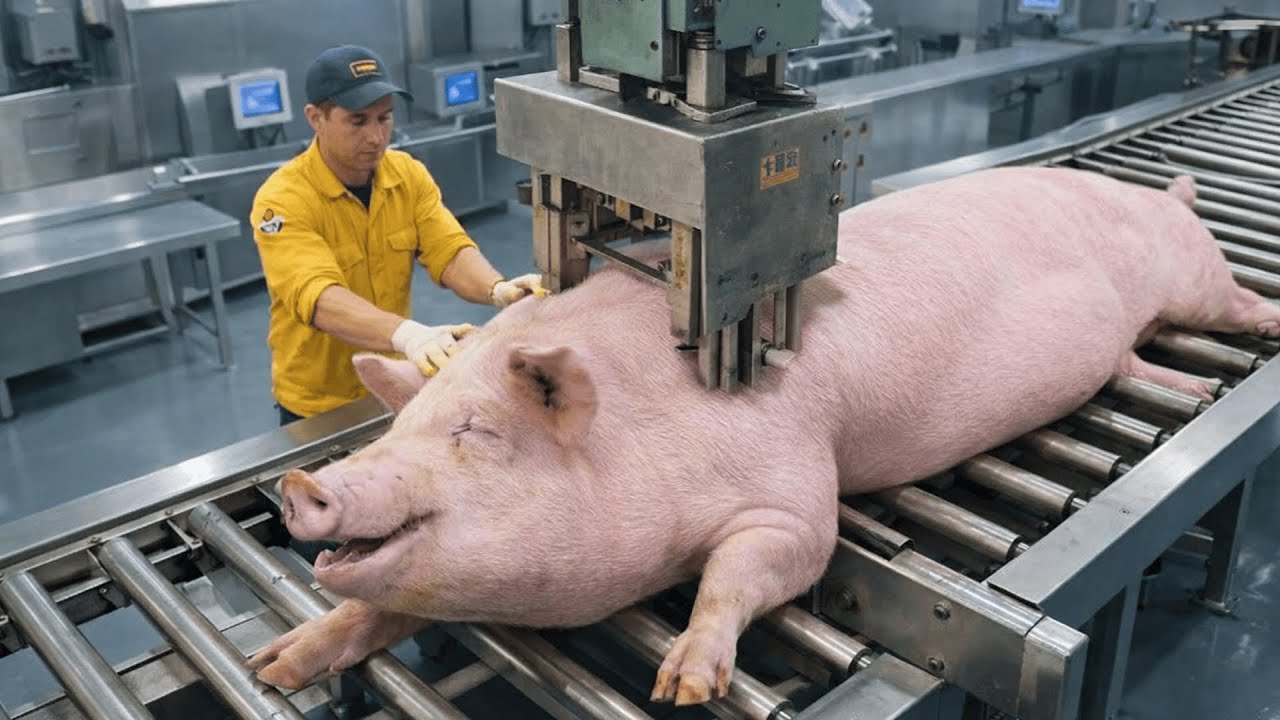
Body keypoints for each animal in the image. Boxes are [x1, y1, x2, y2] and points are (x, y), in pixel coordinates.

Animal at [248, 167, 1280, 704]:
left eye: (476, 429)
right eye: (408, 423)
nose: (303, 486)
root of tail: (1168, 198)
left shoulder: (793, 491)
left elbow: (751, 570)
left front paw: (684, 686)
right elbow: (377, 608)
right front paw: (276, 665)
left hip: (1195, 281)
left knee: (1231, 304)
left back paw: (1258, 333)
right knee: (1135, 363)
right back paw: (1185, 378)